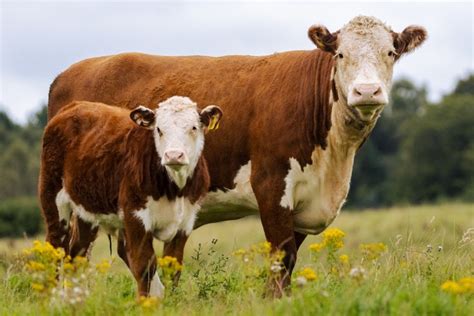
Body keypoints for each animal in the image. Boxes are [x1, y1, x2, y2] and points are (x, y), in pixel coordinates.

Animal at [38, 95, 222, 296]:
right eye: (159, 129)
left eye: (194, 127)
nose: (174, 155)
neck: (175, 189)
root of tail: (74, 106)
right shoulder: (135, 216)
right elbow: (145, 266)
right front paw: (145, 301)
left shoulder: (185, 221)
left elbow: (173, 268)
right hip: (53, 198)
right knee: (54, 248)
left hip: (87, 211)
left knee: (77, 254)